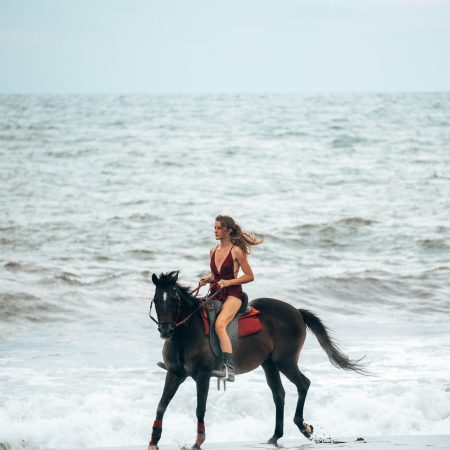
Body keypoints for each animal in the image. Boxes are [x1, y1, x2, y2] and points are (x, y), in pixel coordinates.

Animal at [148, 270, 366, 450]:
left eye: (174, 300)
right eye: (157, 300)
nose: (166, 331)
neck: (187, 334)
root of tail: (297, 311)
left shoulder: (203, 376)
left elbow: (200, 407)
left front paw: (198, 441)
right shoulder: (174, 374)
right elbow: (161, 406)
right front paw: (153, 441)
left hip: (285, 362)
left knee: (303, 384)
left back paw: (303, 427)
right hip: (269, 364)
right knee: (279, 393)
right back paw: (275, 436)